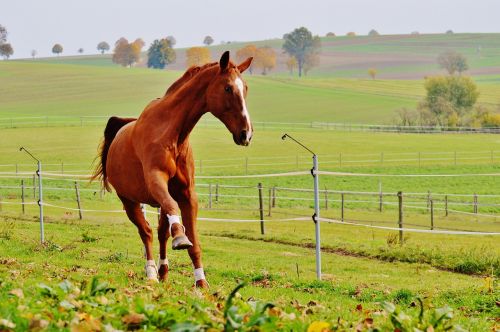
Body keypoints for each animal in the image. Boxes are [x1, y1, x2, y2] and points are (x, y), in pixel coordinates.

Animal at [92, 51, 254, 286]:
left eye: (246, 88)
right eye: (227, 88)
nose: (246, 134)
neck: (171, 132)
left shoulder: (187, 194)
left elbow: (194, 242)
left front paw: (201, 283)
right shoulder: (156, 181)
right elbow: (172, 212)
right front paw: (180, 237)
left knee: (160, 233)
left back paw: (163, 270)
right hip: (129, 201)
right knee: (146, 232)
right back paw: (151, 273)